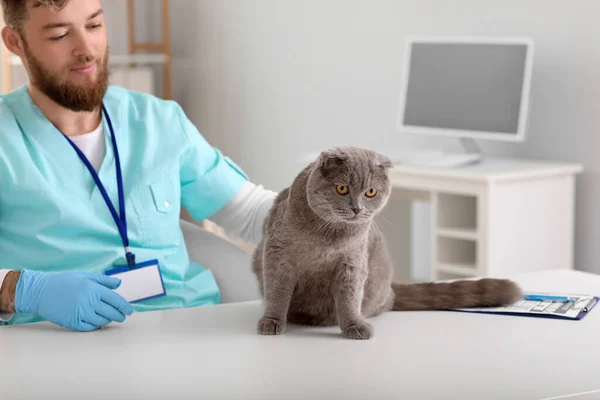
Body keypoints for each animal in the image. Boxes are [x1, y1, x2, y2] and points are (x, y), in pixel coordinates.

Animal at [251, 147, 524, 340]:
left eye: (371, 192)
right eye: (342, 188)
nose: (357, 208)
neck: (327, 236)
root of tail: (391, 290)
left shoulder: (353, 262)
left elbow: (349, 298)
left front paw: (354, 325)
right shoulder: (277, 254)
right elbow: (277, 292)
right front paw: (272, 321)